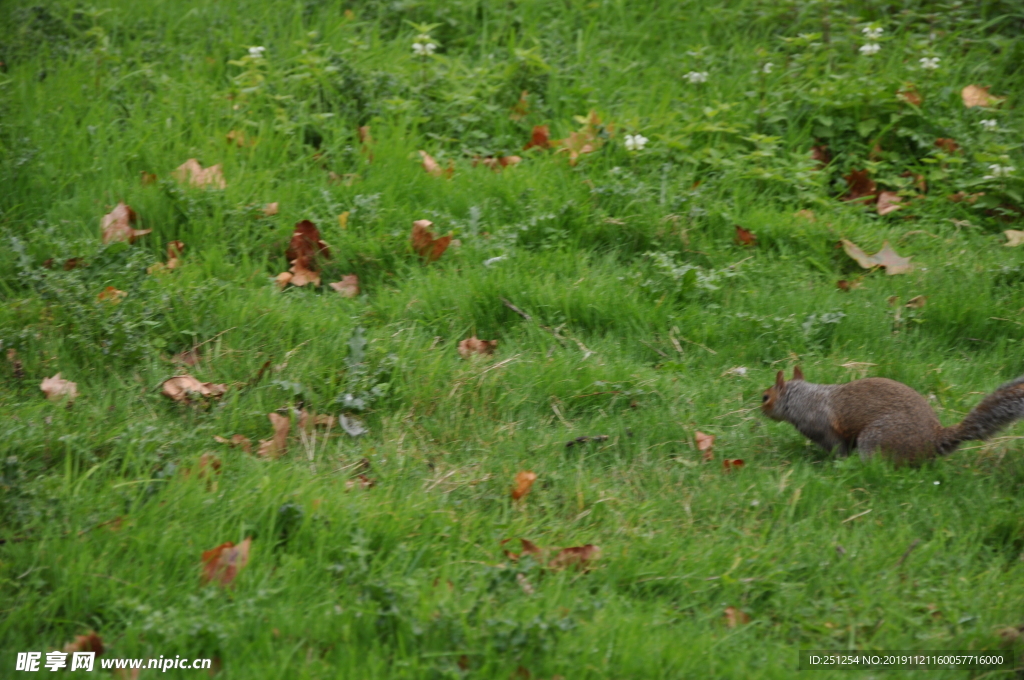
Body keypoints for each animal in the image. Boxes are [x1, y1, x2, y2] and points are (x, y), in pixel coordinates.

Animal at [761, 366, 1024, 466]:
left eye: (765, 397)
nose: (761, 411)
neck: (803, 398)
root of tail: (934, 439)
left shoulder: (821, 428)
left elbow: (838, 448)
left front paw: (834, 463)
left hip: (877, 438)